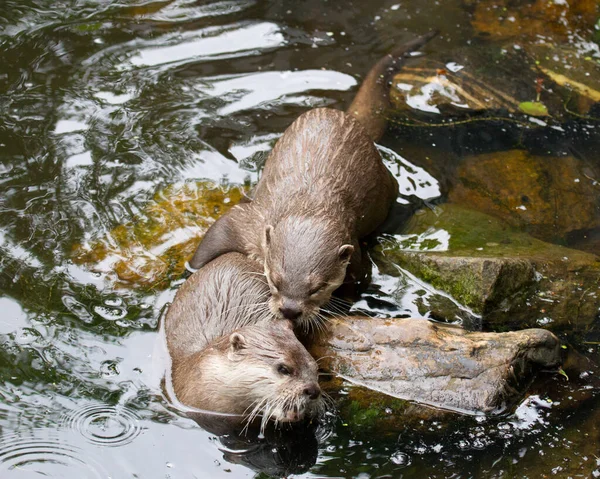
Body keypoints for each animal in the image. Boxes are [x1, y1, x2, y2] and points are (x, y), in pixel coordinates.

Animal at [190, 31, 438, 328]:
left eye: (317, 287)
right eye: (275, 280)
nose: (290, 310)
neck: (308, 203)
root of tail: (346, 116)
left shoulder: (354, 254)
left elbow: (358, 281)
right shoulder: (252, 221)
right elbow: (213, 240)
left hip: (385, 190)